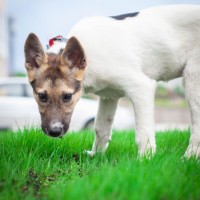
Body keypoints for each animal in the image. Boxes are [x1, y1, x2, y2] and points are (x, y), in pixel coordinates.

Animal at [24, 4, 200, 158]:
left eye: (67, 96)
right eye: (42, 96)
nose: (54, 132)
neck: (89, 56)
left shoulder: (141, 87)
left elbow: (143, 133)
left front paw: (144, 161)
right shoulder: (108, 96)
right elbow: (100, 129)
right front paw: (95, 156)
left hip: (193, 79)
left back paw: (188, 158)